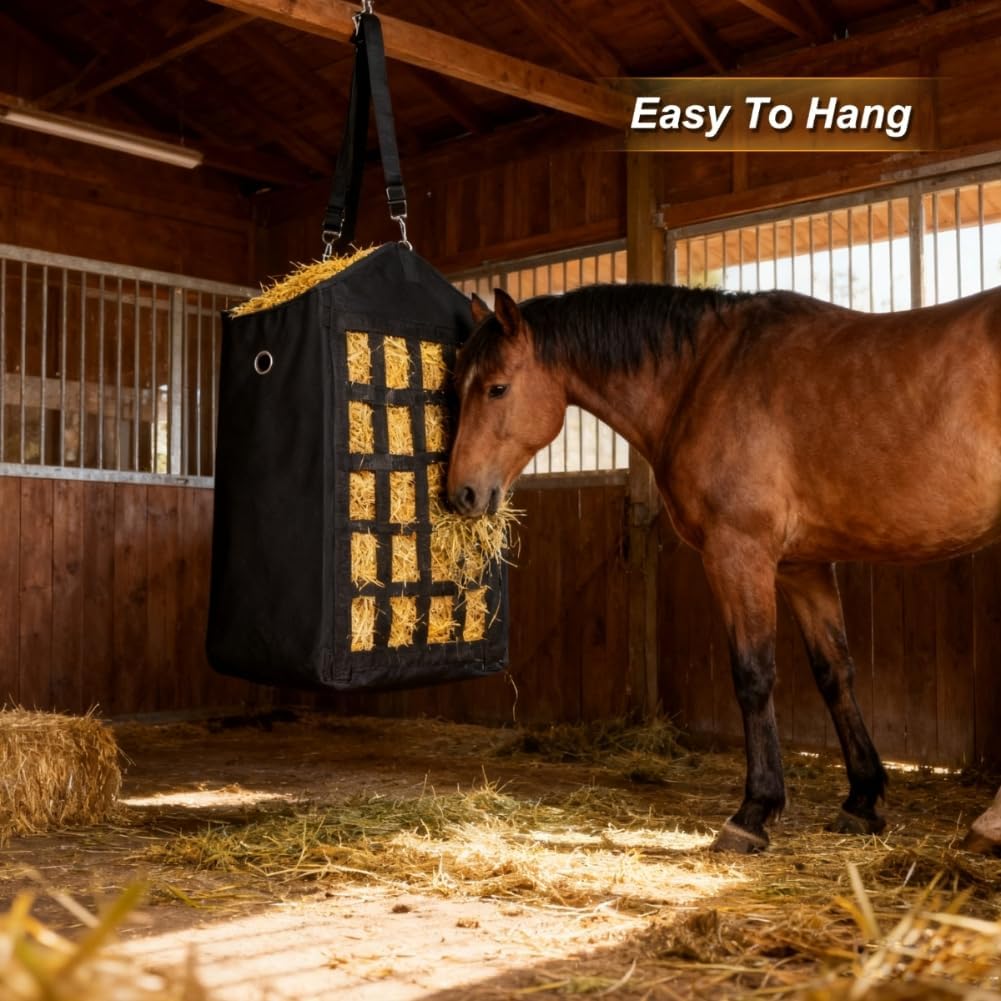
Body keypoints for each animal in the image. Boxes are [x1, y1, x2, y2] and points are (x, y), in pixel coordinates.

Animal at [447, 283, 1001, 855]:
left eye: (497, 388)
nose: (460, 494)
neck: (704, 374)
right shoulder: (802, 566)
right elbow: (835, 673)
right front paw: (862, 801)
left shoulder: (738, 553)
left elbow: (753, 675)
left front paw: (754, 811)